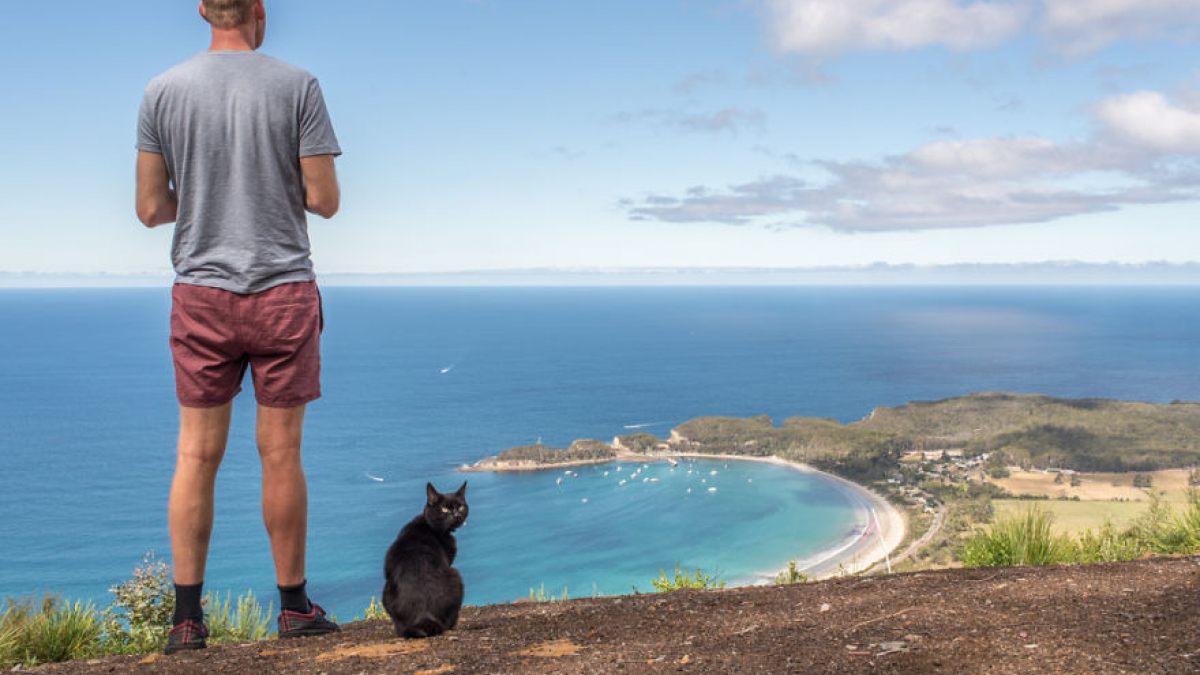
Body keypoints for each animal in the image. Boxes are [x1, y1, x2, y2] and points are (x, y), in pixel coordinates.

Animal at [381, 478, 465, 634]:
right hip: (456, 576)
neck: (428, 524)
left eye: (461, 507)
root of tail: (424, 613)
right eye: (445, 509)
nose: (457, 515)